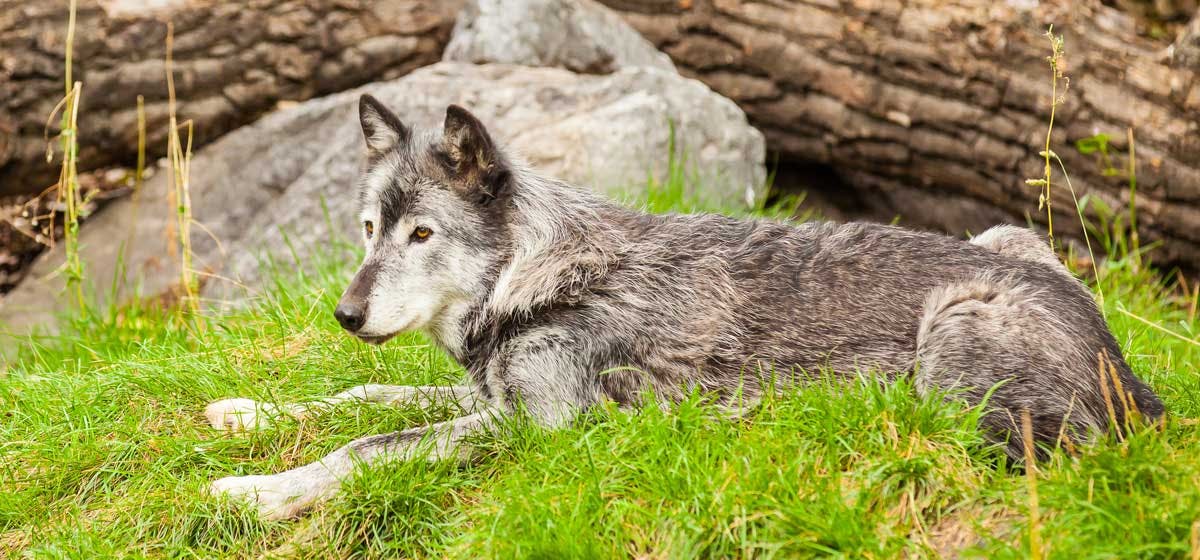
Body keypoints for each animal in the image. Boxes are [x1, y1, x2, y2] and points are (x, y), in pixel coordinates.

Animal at [204, 95, 1161, 522]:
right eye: (369, 230)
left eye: (422, 235)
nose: (346, 315)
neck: (533, 272)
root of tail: (1137, 385)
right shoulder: (487, 394)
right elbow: (361, 399)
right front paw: (244, 414)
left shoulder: (541, 429)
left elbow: (370, 444)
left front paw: (257, 491)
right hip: (1007, 236)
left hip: (956, 331)